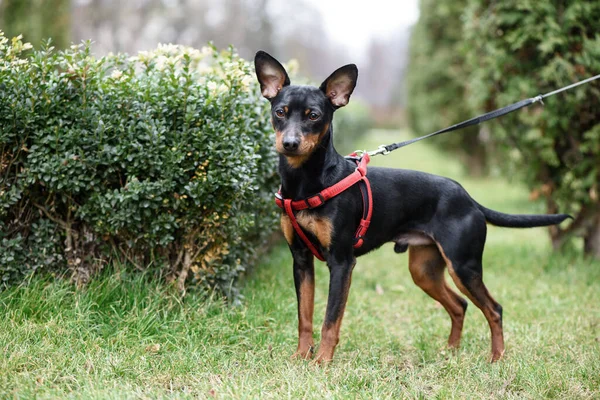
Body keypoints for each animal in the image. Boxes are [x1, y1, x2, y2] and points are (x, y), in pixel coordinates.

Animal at [253, 50, 572, 362]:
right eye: (280, 112)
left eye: (314, 116)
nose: (290, 143)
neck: (308, 181)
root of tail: (469, 199)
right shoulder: (301, 260)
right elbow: (304, 316)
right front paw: (300, 356)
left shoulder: (342, 262)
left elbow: (330, 319)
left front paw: (321, 362)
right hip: (425, 269)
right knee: (460, 304)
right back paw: (450, 352)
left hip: (463, 265)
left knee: (494, 309)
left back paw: (496, 358)